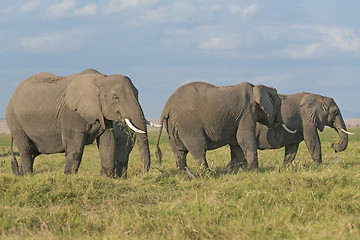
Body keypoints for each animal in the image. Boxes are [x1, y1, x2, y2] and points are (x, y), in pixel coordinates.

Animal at [7, 68, 150, 175]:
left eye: (137, 93)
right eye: (116, 98)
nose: (140, 173)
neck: (102, 78)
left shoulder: (102, 113)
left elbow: (107, 142)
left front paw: (107, 179)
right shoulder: (71, 113)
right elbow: (75, 147)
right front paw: (68, 177)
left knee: (31, 153)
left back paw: (22, 175)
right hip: (15, 121)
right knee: (25, 149)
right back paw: (27, 176)